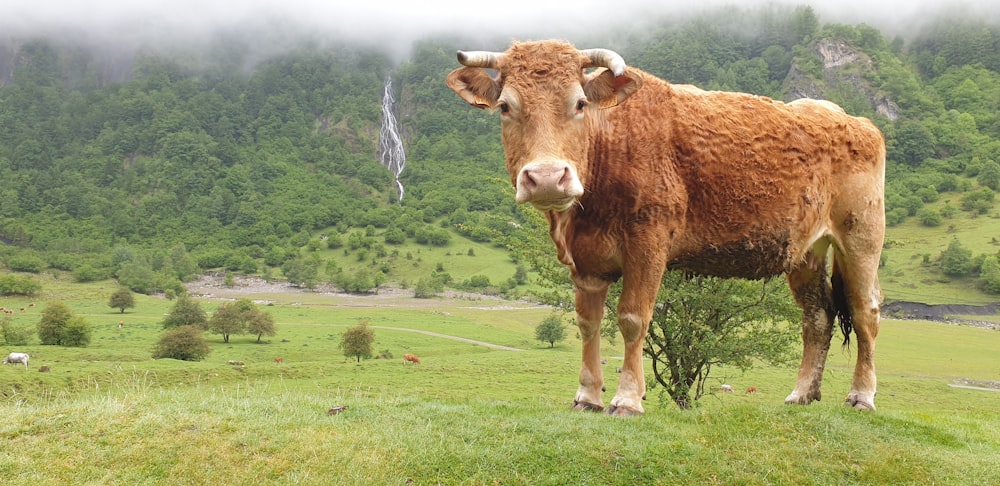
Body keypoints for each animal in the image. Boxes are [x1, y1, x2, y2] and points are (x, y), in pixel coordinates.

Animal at [450, 39, 888, 416]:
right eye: (505, 106)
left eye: (579, 103)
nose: (545, 178)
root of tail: (847, 118)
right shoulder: (586, 262)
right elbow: (588, 323)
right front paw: (588, 396)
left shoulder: (648, 244)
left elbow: (632, 318)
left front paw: (627, 399)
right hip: (804, 251)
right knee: (817, 317)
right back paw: (801, 393)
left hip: (860, 239)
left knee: (865, 313)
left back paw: (862, 396)